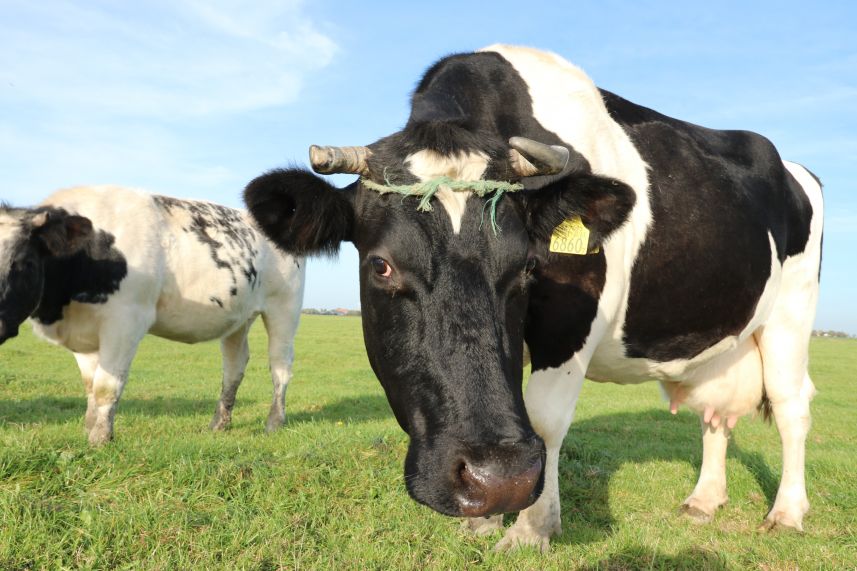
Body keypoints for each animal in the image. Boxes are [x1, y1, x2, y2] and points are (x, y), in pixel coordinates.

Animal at [0, 185, 306, 444]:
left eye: (24, 262)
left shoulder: (127, 321)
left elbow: (106, 386)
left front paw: (100, 439)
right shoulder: (81, 332)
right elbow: (90, 385)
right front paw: (88, 428)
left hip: (284, 308)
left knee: (280, 366)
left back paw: (274, 422)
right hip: (239, 318)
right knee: (234, 366)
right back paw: (219, 424)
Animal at [241, 45, 824, 556]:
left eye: (527, 266)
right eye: (380, 266)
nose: (496, 480)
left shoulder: (571, 323)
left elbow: (544, 421)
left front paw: (531, 529)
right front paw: (485, 518)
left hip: (792, 313)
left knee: (792, 406)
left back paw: (787, 512)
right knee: (715, 416)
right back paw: (704, 500)